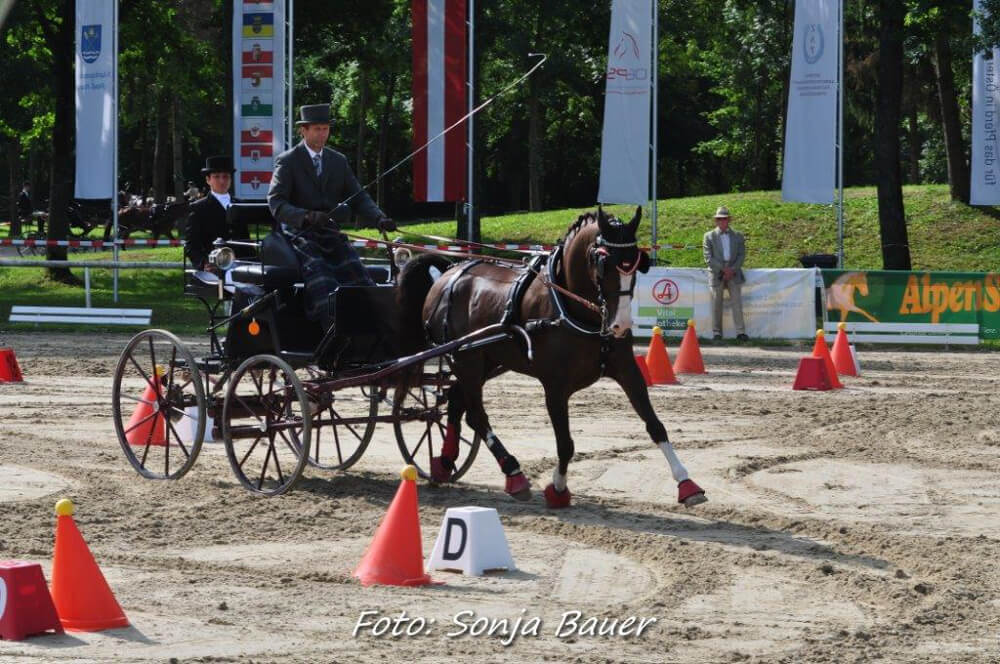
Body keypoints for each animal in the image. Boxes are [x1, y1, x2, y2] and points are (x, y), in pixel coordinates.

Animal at [394, 208, 708, 508]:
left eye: (636, 262)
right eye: (604, 263)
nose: (620, 325)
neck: (574, 308)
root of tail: (449, 273)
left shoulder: (627, 370)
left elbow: (655, 424)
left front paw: (687, 484)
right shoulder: (555, 386)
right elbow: (565, 443)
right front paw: (557, 489)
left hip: (485, 360)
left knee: (456, 403)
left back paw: (445, 462)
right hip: (465, 360)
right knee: (476, 414)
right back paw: (513, 473)